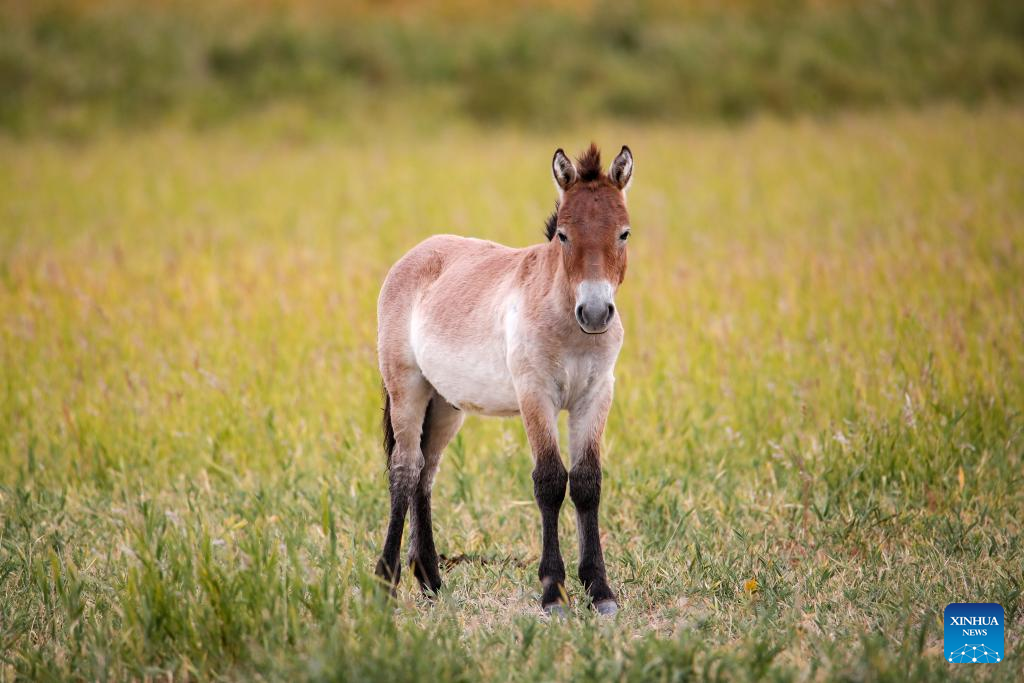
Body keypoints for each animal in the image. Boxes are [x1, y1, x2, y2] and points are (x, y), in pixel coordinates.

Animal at [375, 143, 634, 615]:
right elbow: (549, 480)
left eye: (623, 233)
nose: (594, 313)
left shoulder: (596, 395)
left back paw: (431, 580)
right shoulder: (535, 394)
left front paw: (600, 591)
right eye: (563, 235)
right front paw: (553, 591)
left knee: (426, 473)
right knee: (404, 469)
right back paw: (387, 582)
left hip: (445, 405)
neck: (564, 319)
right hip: (408, 390)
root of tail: (414, 255)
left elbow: (587, 482)